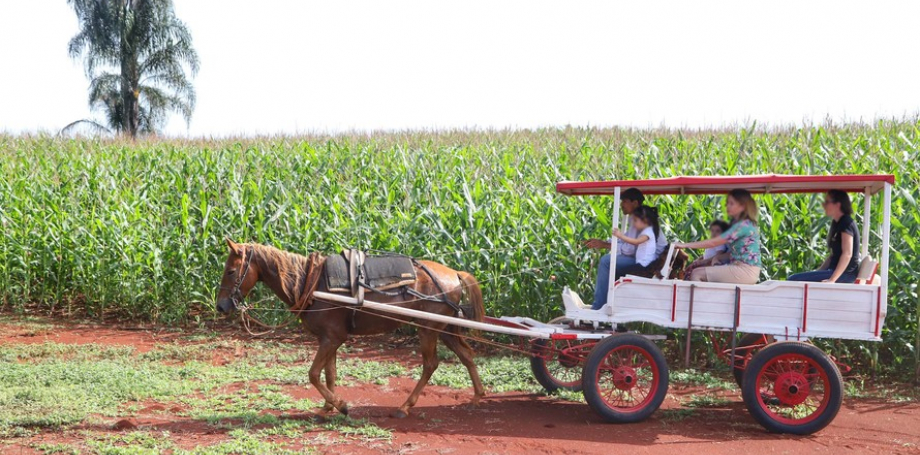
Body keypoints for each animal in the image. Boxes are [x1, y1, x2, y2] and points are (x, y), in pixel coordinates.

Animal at [217, 240, 488, 418]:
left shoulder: (333, 338)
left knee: (431, 364)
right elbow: (329, 374)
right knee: (467, 355)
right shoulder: (328, 339)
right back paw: (477, 396)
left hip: (428, 328)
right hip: (446, 329)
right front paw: (327, 407)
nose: (220, 306)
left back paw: (406, 406)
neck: (310, 282)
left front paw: (340, 405)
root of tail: (455, 273)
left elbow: (313, 374)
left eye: (231, 271)